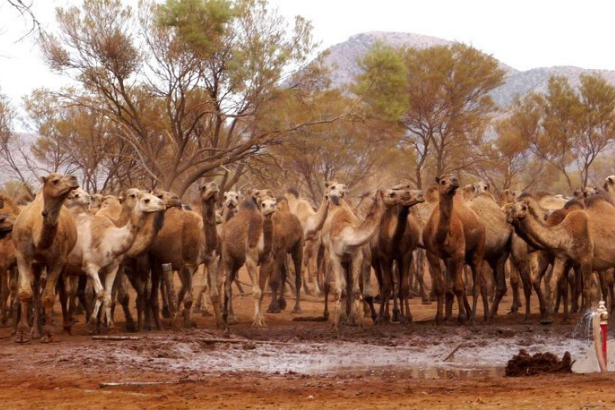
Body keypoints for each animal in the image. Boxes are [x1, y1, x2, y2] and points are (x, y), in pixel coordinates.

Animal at [12, 173, 79, 342]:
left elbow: (48, 296)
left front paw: (48, 333)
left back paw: (65, 328)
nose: (74, 178)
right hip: (37, 264)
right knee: (36, 291)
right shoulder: (23, 256)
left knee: (62, 291)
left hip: (60, 262)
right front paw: (21, 334)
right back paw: (35, 331)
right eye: (55, 181)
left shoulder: (58, 260)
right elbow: (25, 293)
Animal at [63, 189, 165, 334]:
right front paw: (92, 322)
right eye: (146, 199)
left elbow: (108, 295)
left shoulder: (112, 268)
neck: (110, 239)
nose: (162, 204)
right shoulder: (90, 267)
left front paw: (110, 325)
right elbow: (100, 294)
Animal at [217, 195, 274, 326]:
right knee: (227, 285)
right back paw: (229, 317)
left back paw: (228, 315)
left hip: (237, 261)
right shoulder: (250, 260)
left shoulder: (267, 261)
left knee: (225, 282)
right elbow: (256, 291)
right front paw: (256, 321)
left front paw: (262, 320)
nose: (270, 209)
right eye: (263, 204)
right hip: (227, 257)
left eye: (274, 203)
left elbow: (262, 291)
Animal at [422, 175, 488, 326]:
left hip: (477, 253)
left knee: (476, 286)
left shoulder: (458, 253)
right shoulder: (432, 254)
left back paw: (472, 317)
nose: (454, 181)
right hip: (459, 258)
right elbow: (441, 288)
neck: (440, 236)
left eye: (453, 178)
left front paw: (462, 317)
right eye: (442, 181)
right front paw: (440, 318)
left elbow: (458, 287)